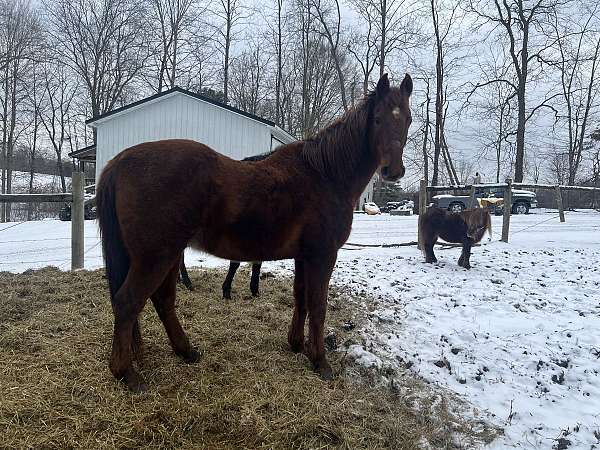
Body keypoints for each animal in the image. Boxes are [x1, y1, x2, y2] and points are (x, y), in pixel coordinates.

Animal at [96, 72, 412, 392]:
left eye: (408, 119)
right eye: (377, 119)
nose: (393, 171)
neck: (325, 175)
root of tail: (119, 162)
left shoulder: (304, 256)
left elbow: (301, 297)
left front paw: (297, 345)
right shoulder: (323, 255)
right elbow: (318, 305)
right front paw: (320, 362)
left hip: (169, 255)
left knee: (163, 301)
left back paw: (186, 352)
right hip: (155, 257)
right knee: (128, 303)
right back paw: (127, 374)